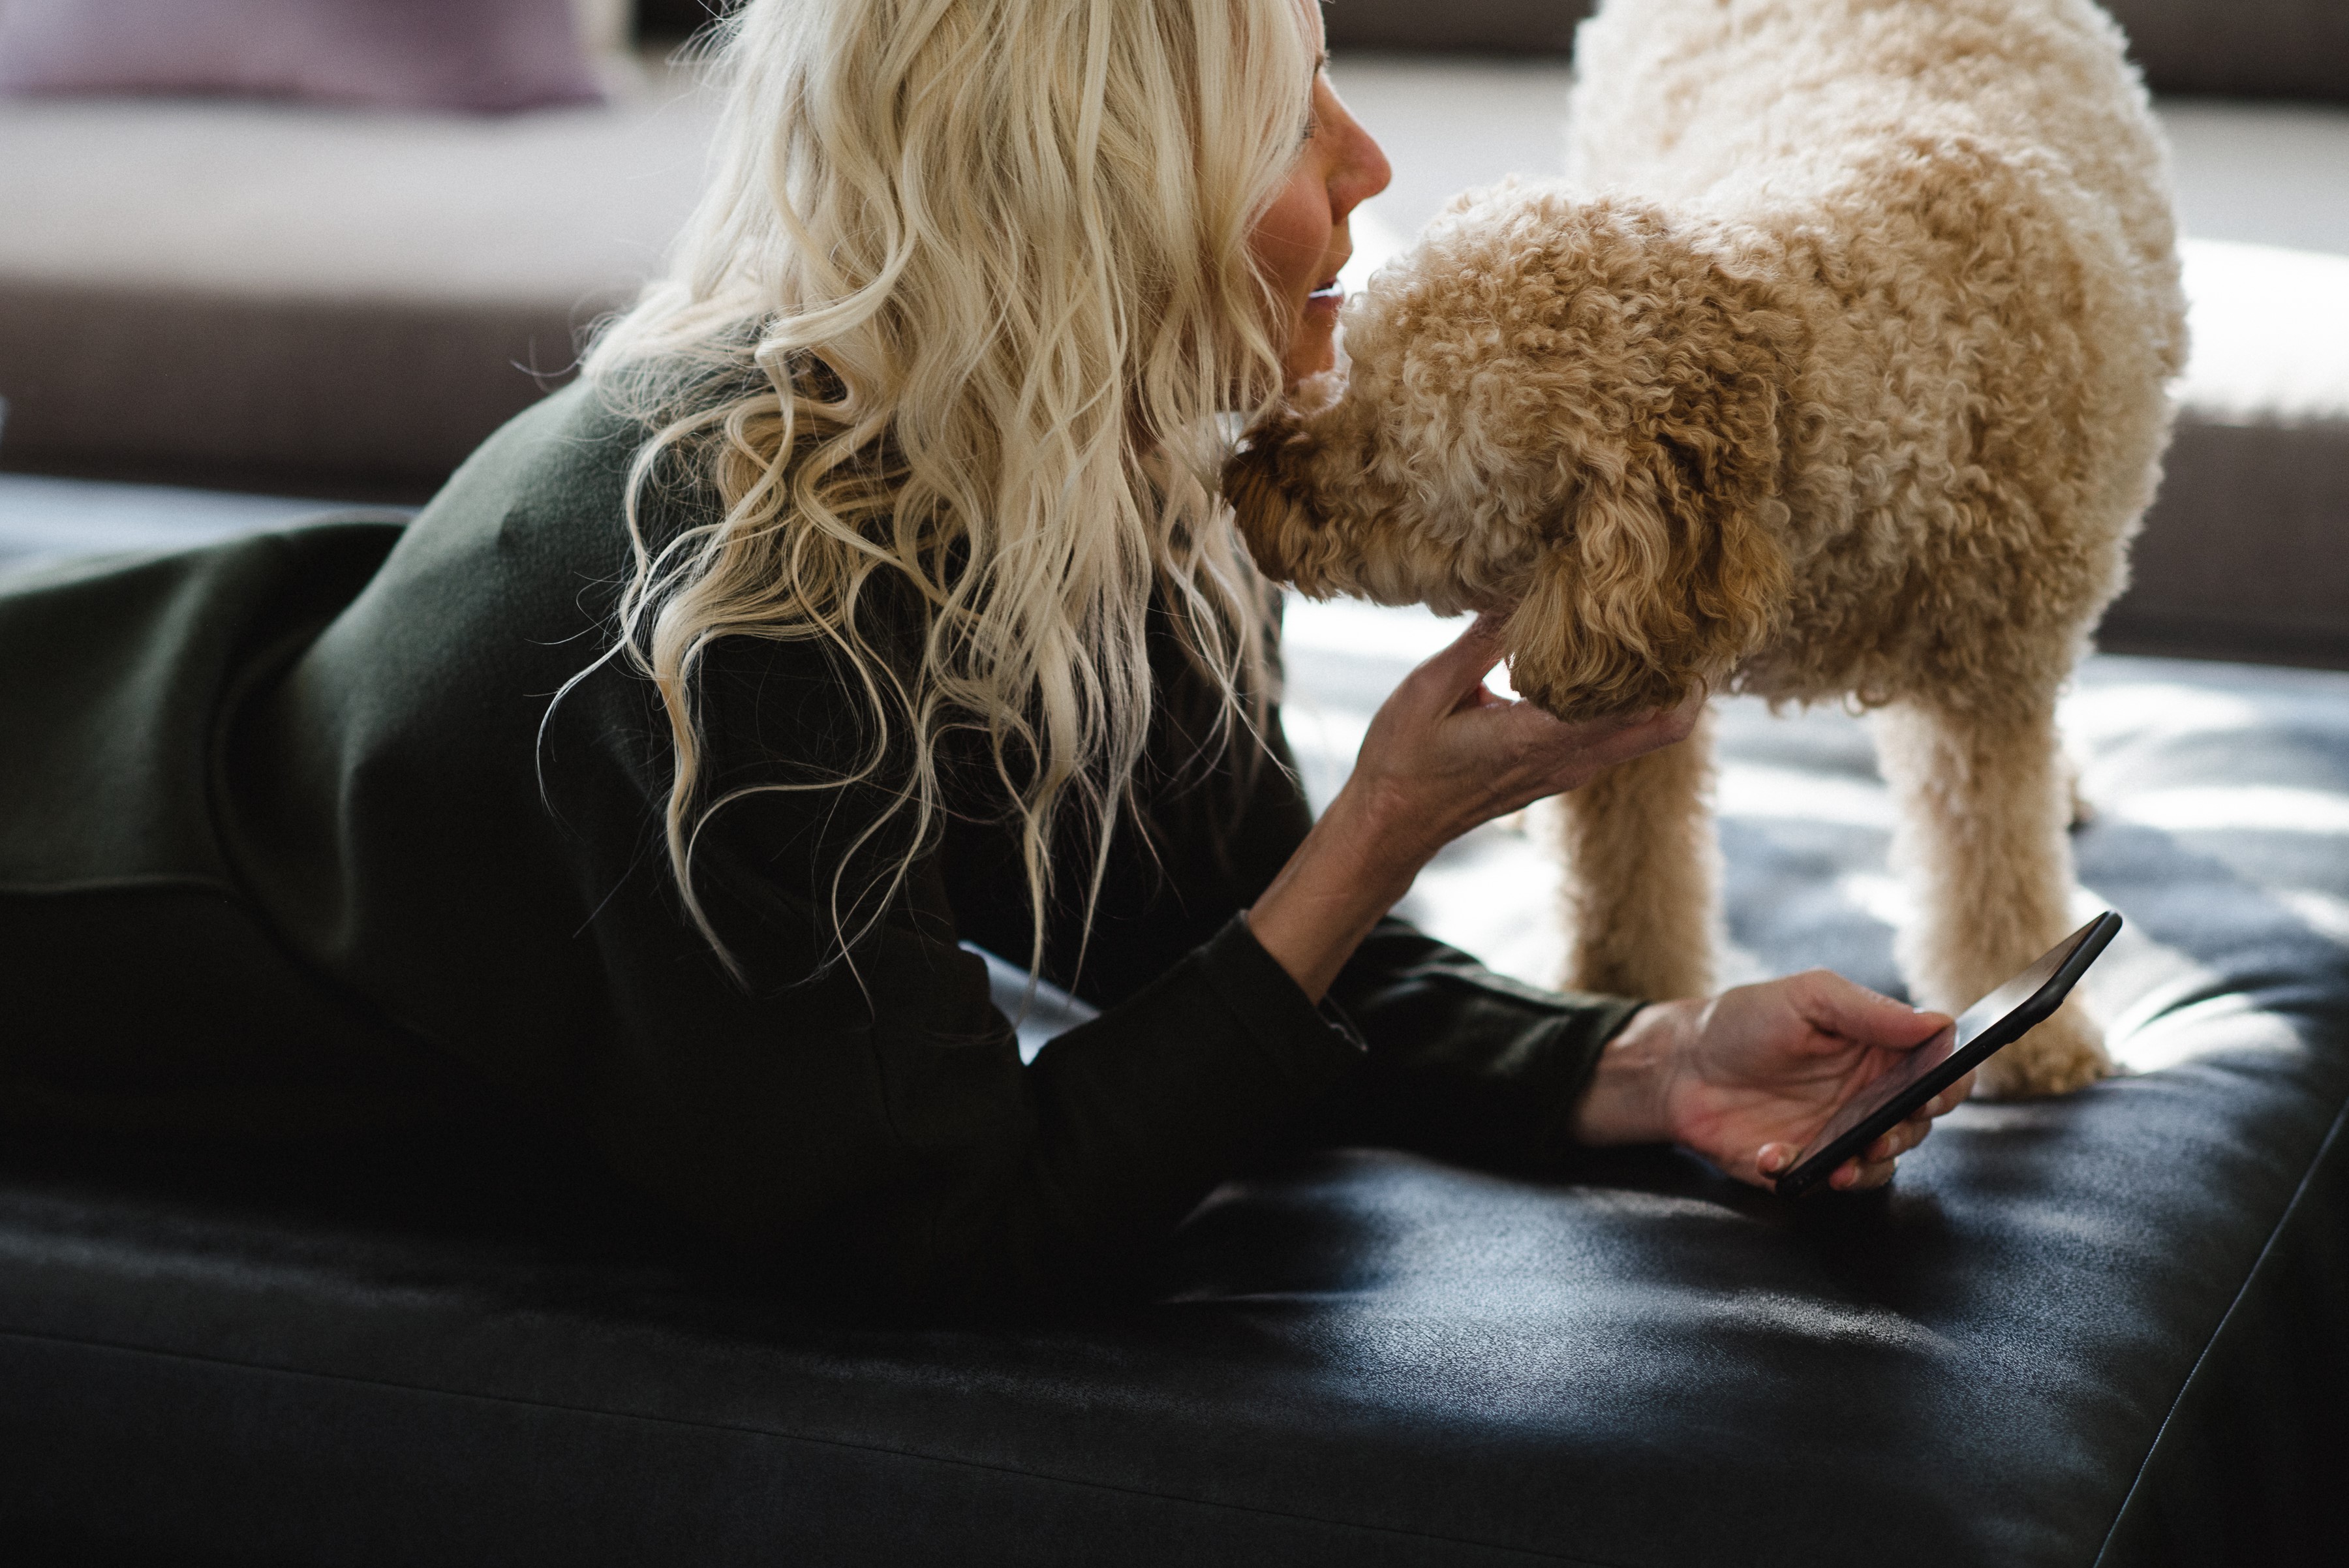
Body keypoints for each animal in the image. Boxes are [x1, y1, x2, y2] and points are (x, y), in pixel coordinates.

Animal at [1225, 0, 2186, 1095]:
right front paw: (1630, 1012)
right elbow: (1626, 889)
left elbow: (1993, 867)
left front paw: (2029, 1035)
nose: (1247, 472)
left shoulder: (1986, 682)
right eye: (1347, 364)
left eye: (1387, 448)